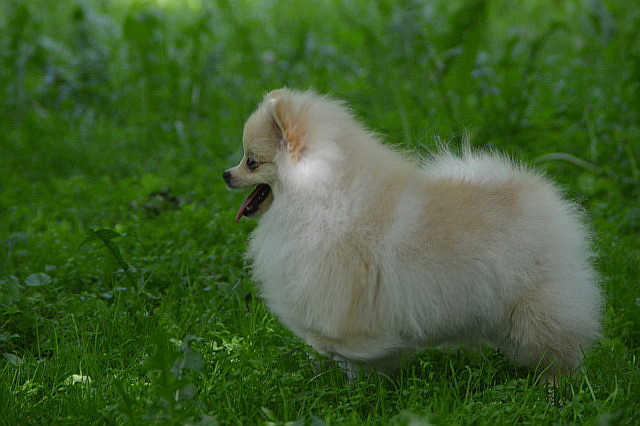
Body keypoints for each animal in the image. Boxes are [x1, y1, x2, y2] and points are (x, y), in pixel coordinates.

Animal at [222, 86, 604, 380]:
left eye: (251, 162)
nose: (226, 174)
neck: (322, 194)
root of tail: (531, 188)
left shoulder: (348, 308)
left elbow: (349, 356)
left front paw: (355, 391)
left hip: (535, 305)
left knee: (556, 348)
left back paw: (554, 388)